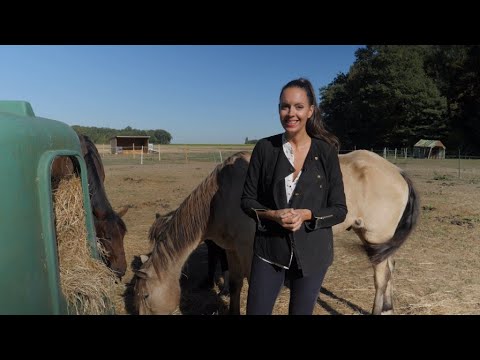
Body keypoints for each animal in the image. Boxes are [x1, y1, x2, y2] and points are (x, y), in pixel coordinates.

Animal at [133, 150, 418, 314]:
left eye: (145, 296)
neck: (221, 196)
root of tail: (397, 170)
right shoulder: (232, 251)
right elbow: (235, 285)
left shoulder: (252, 253)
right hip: (378, 240)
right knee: (389, 267)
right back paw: (388, 308)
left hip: (375, 236)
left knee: (381, 276)